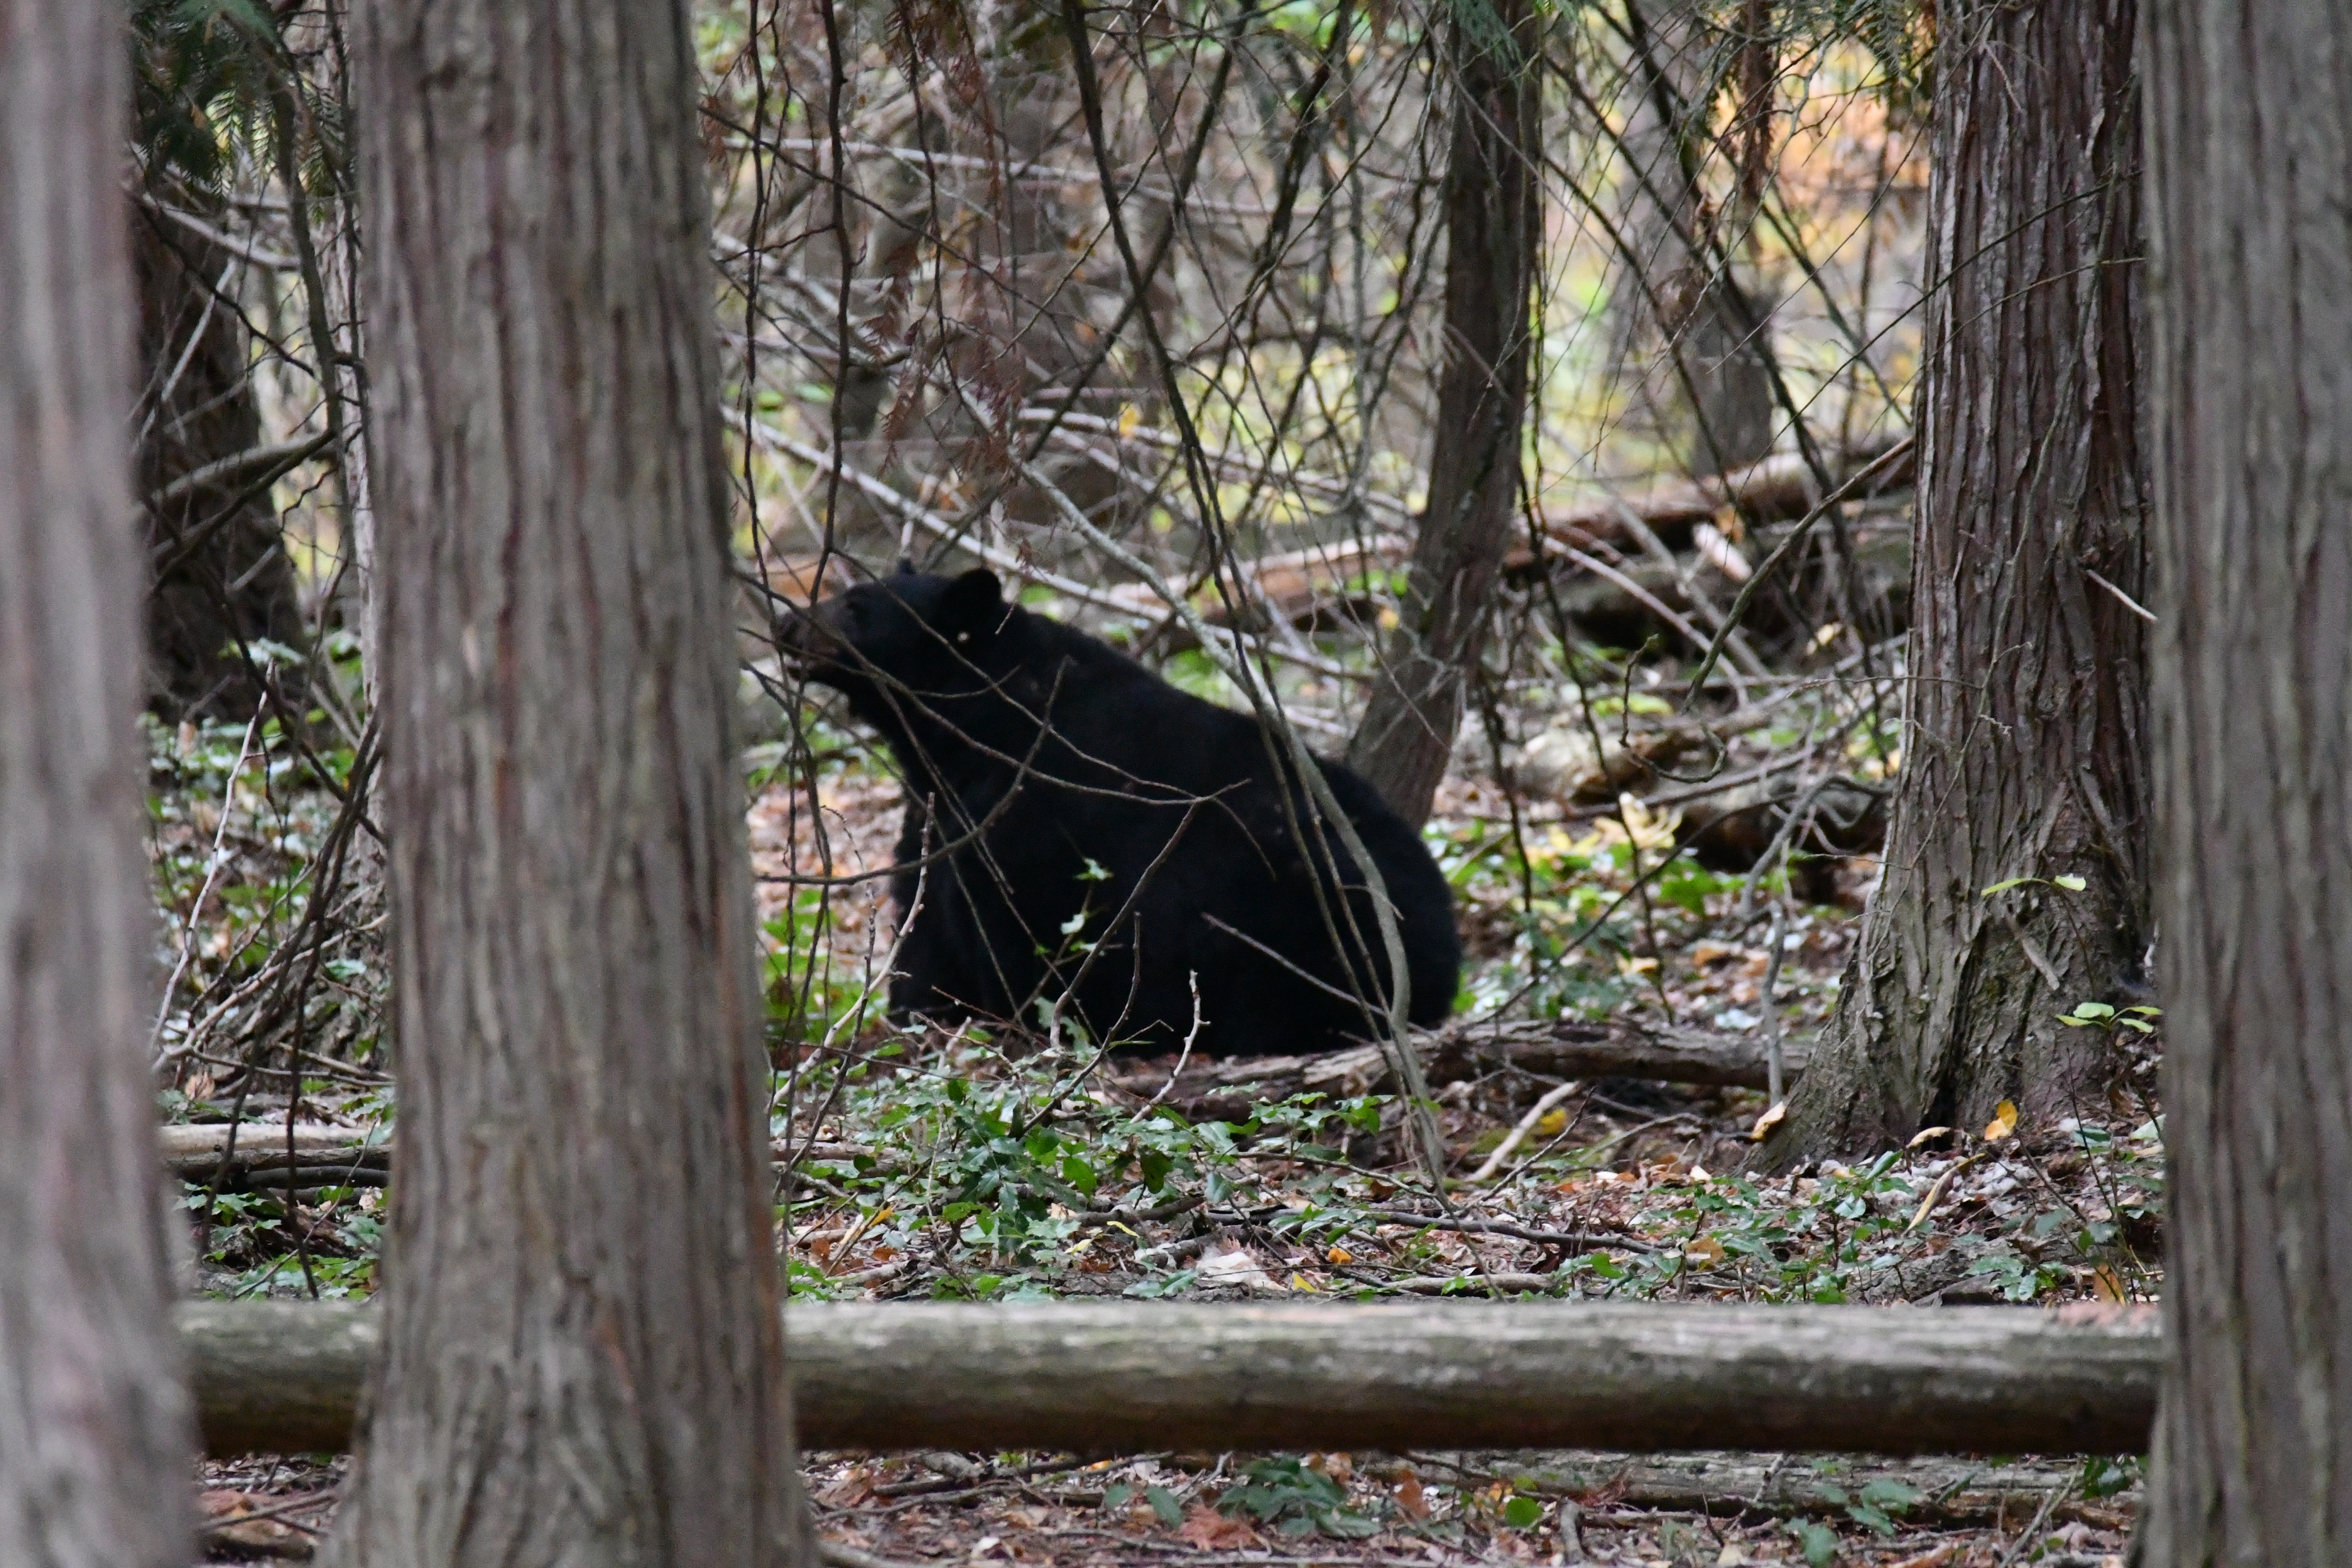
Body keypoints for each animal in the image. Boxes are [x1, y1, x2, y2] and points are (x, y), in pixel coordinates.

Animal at [781, 564, 1458, 1053]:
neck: (977, 730)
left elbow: (1015, 929)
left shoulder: (1030, 820)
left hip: (1305, 915)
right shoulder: (940, 813)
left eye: (856, 608)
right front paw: (919, 1014)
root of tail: (1446, 966)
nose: (787, 625)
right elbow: (927, 926)